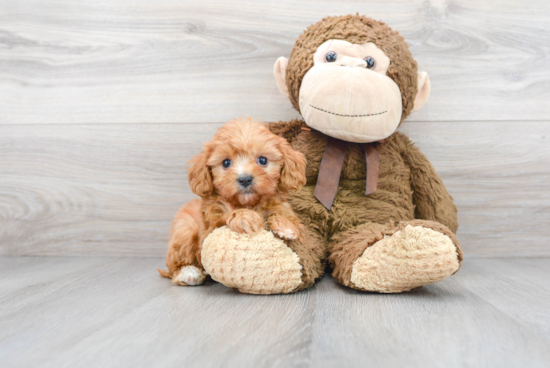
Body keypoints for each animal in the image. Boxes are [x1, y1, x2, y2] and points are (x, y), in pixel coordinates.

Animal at [157, 117, 308, 284]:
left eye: (263, 160)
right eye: (226, 162)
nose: (245, 179)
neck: (247, 203)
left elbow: (291, 223)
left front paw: (286, 226)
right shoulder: (209, 229)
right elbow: (228, 216)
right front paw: (245, 217)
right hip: (185, 230)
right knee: (175, 267)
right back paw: (188, 273)